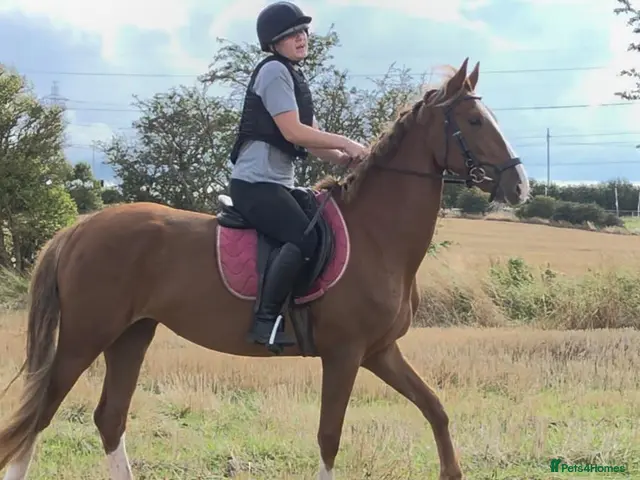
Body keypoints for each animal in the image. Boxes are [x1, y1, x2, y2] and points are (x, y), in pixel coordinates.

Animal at [0, 57, 529, 480]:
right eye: (475, 120)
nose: (520, 186)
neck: (377, 235)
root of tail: (79, 228)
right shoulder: (345, 354)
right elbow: (330, 437)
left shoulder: (380, 352)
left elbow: (436, 410)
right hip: (85, 336)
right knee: (41, 414)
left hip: (131, 334)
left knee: (110, 417)